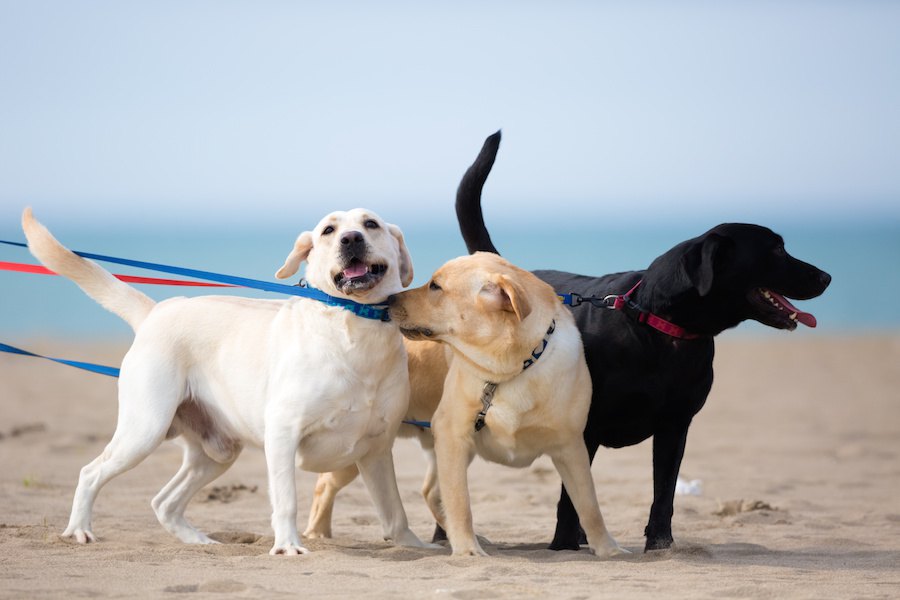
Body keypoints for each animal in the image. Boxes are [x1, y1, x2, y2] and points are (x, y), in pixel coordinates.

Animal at [22, 206, 426, 552]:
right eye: (328, 231)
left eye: (370, 224)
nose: (351, 239)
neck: (355, 328)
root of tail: (158, 310)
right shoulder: (283, 434)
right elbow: (286, 500)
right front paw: (287, 546)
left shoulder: (377, 449)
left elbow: (394, 510)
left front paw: (415, 546)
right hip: (145, 429)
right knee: (90, 473)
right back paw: (79, 529)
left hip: (216, 452)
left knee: (164, 501)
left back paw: (199, 542)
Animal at [454, 132, 832, 552]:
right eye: (777, 248)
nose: (826, 277)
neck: (659, 328)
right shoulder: (583, 431)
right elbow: (572, 499)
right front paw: (564, 545)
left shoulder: (675, 425)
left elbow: (663, 494)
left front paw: (660, 545)